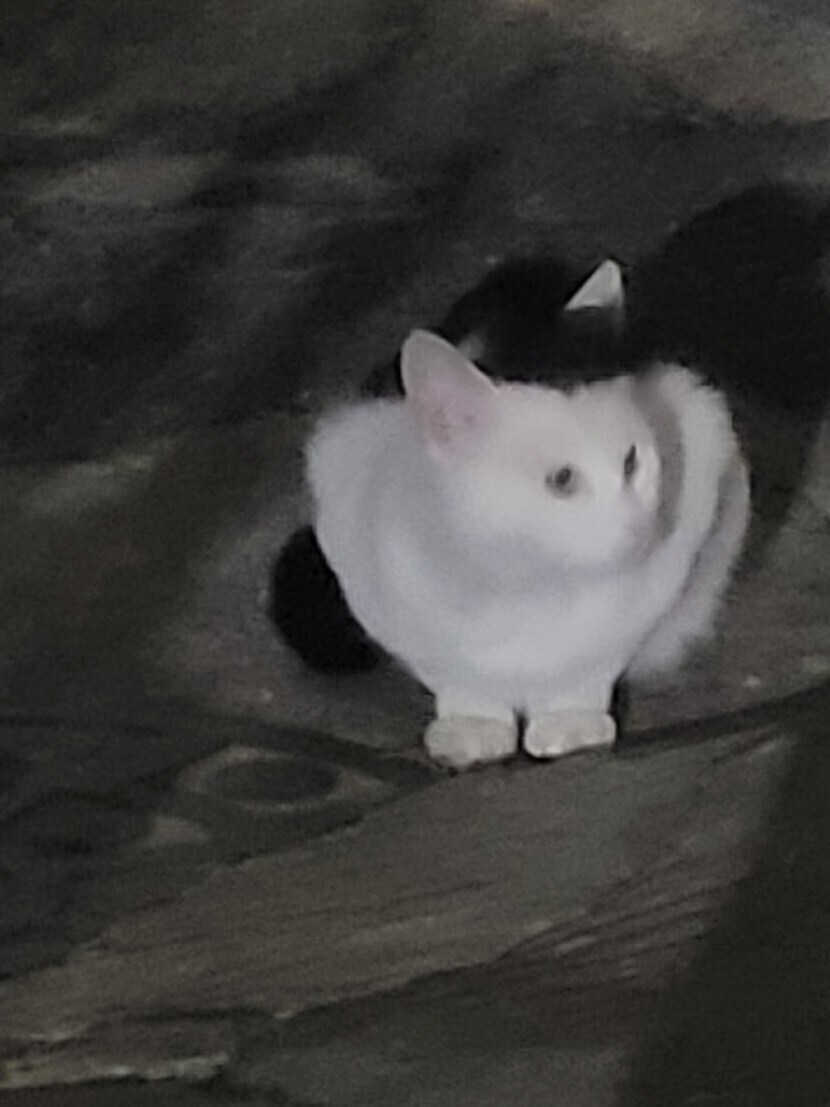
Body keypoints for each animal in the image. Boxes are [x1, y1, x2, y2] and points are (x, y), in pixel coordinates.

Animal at [273, 258, 749, 768]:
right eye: (562, 479)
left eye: (631, 461)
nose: (641, 527)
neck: (526, 581)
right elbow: (452, 670)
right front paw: (473, 722)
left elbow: (592, 661)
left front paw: (571, 719)